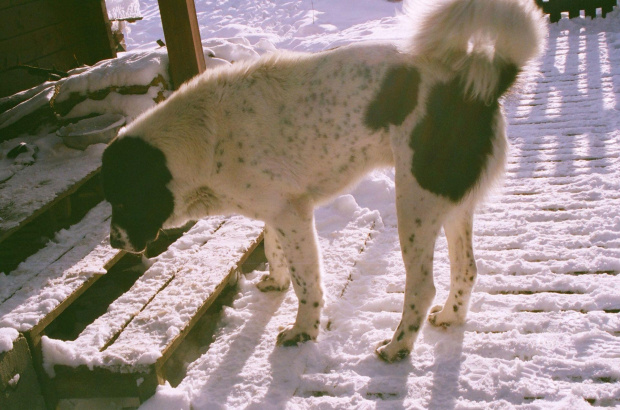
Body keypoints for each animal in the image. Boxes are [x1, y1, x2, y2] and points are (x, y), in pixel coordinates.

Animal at [103, 0, 548, 360]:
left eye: (121, 200)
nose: (112, 243)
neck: (204, 135)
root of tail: (477, 89)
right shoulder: (278, 209)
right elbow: (273, 248)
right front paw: (276, 281)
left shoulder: (292, 213)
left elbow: (307, 283)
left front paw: (303, 331)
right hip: (451, 205)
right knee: (467, 269)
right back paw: (451, 318)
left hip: (415, 205)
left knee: (422, 288)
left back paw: (397, 347)